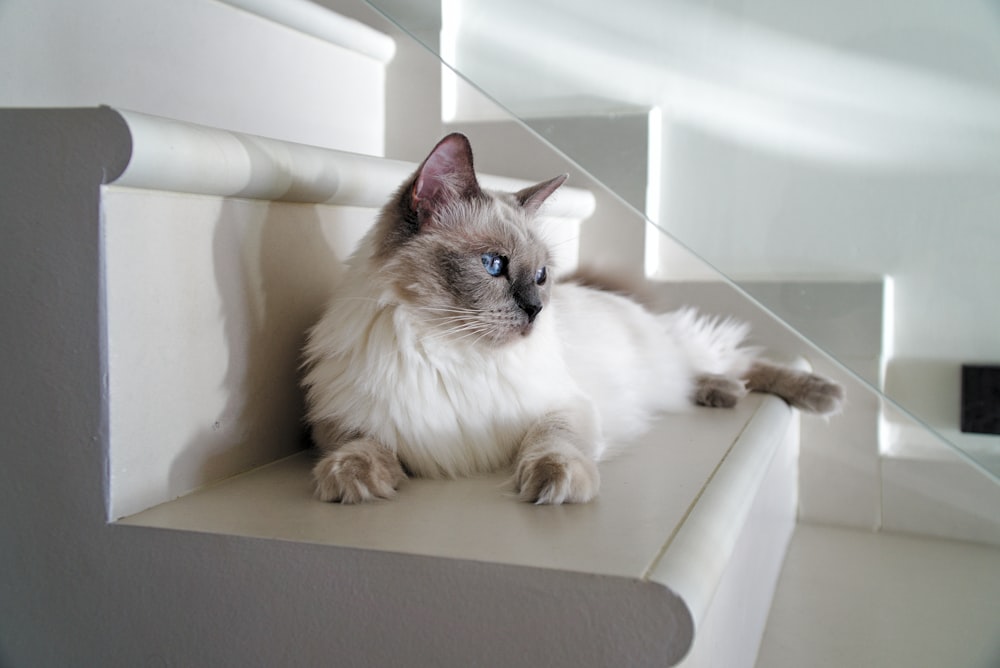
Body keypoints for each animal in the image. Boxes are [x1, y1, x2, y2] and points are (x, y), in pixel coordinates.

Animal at [298, 133, 844, 504]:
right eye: (493, 265)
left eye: (540, 276)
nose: (538, 310)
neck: (450, 353)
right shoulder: (342, 421)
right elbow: (363, 445)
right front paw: (351, 479)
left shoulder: (562, 407)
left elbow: (552, 443)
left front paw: (555, 484)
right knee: (715, 373)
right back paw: (722, 393)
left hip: (671, 352)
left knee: (738, 362)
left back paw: (821, 394)